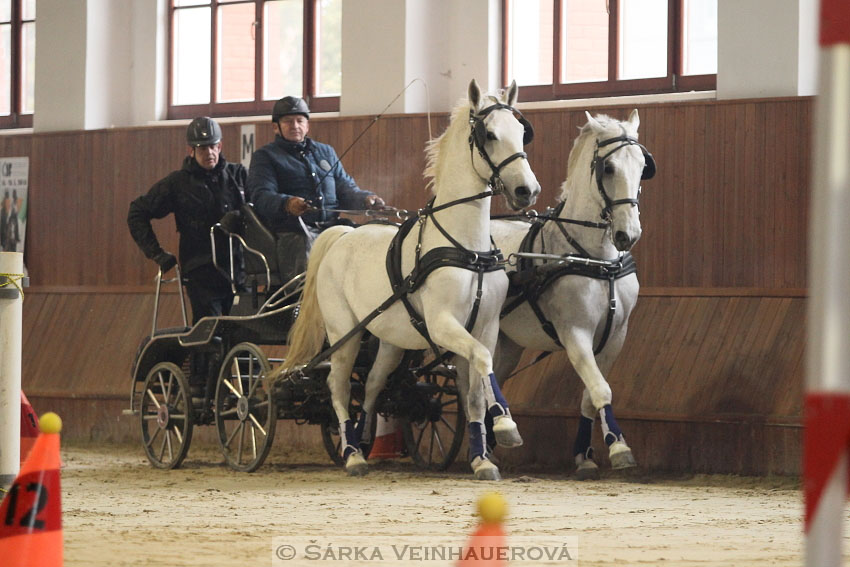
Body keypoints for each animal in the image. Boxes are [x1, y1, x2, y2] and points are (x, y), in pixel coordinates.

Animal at [282, 79, 540, 480]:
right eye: (490, 135)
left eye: (521, 131)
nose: (527, 191)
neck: (467, 249)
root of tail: (342, 234)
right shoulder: (442, 325)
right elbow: (484, 362)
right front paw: (506, 426)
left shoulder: (485, 326)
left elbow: (475, 389)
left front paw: (482, 458)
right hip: (345, 333)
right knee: (338, 386)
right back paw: (353, 454)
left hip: (390, 340)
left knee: (372, 384)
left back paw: (364, 436)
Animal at [486, 110, 652, 480]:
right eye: (608, 168)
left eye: (642, 166)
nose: (628, 234)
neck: (597, 259)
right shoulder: (575, 334)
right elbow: (601, 388)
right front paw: (620, 448)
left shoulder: (615, 337)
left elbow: (591, 396)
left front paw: (585, 456)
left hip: (508, 342)